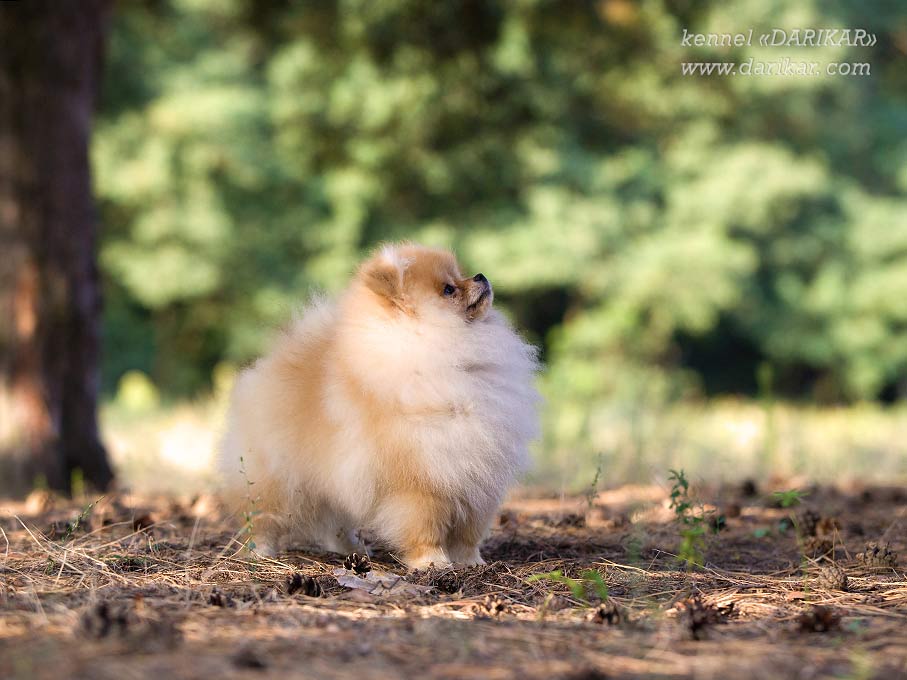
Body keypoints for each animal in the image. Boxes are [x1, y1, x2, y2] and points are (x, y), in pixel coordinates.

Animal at [219, 244, 540, 568]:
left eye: (460, 274)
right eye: (448, 289)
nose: (480, 276)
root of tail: (274, 361)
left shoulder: (477, 481)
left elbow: (468, 533)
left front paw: (471, 562)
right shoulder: (420, 482)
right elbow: (425, 526)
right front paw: (432, 561)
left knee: (335, 523)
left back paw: (353, 549)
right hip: (276, 479)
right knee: (262, 516)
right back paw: (260, 552)